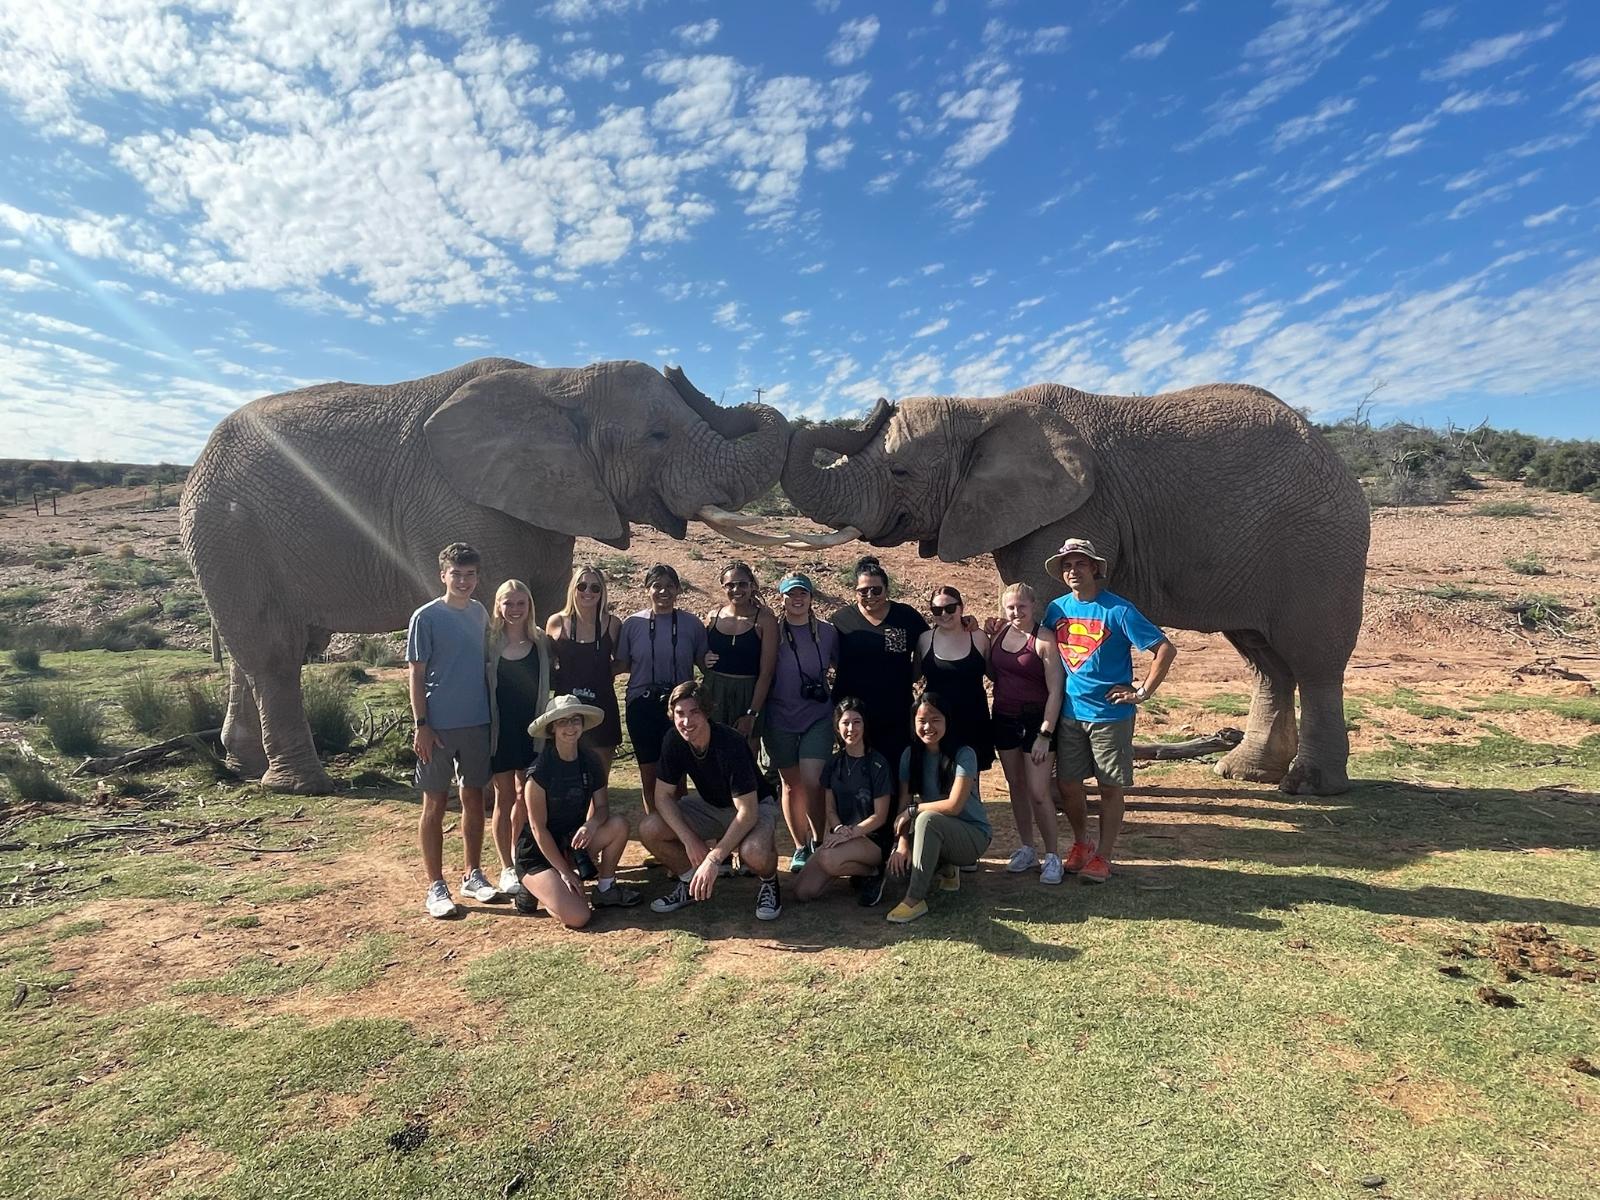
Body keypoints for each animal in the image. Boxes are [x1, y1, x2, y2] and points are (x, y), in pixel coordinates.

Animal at [181, 358, 823, 795]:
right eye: (657, 436)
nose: (678, 367)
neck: (557, 382)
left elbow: (543, 610)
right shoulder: (454, 503)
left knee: (258, 650)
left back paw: (244, 766)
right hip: (225, 529)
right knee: (273, 650)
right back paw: (299, 785)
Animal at [781, 382, 1370, 795]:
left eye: (901, 472)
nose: (880, 404)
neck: (983, 407)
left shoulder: (1075, 511)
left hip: (1320, 548)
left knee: (1313, 661)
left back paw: (1308, 786)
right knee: (1265, 660)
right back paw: (1243, 774)